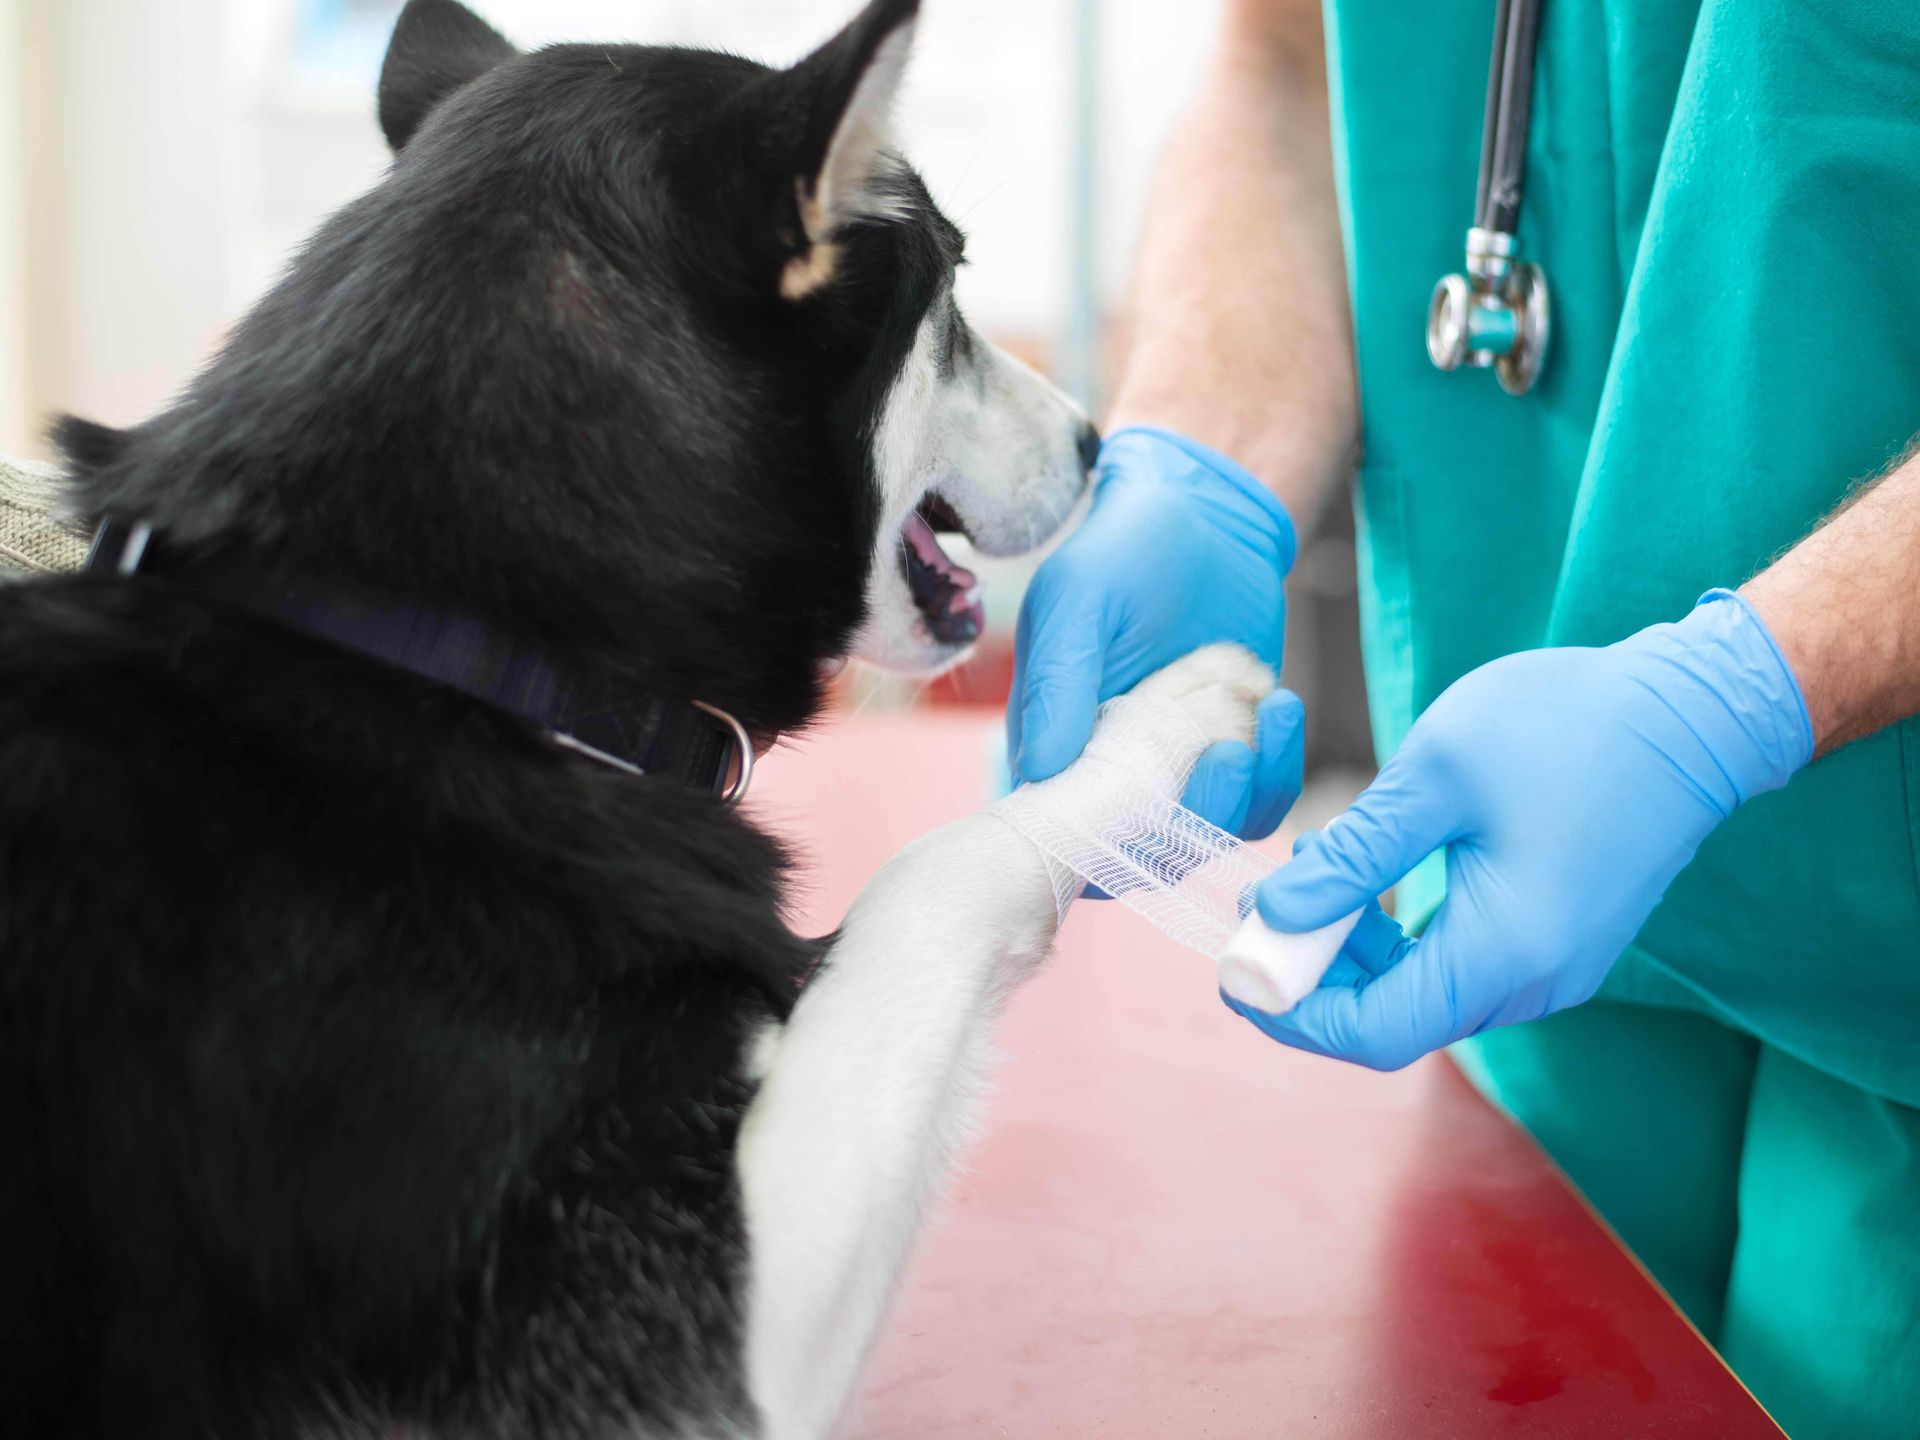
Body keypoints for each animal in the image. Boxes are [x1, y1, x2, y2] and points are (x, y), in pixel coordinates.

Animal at [0, 5, 1274, 1436]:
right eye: (950, 287)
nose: (1096, 436)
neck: (458, 648)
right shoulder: (681, 1359)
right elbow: (939, 874)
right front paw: (1161, 729)